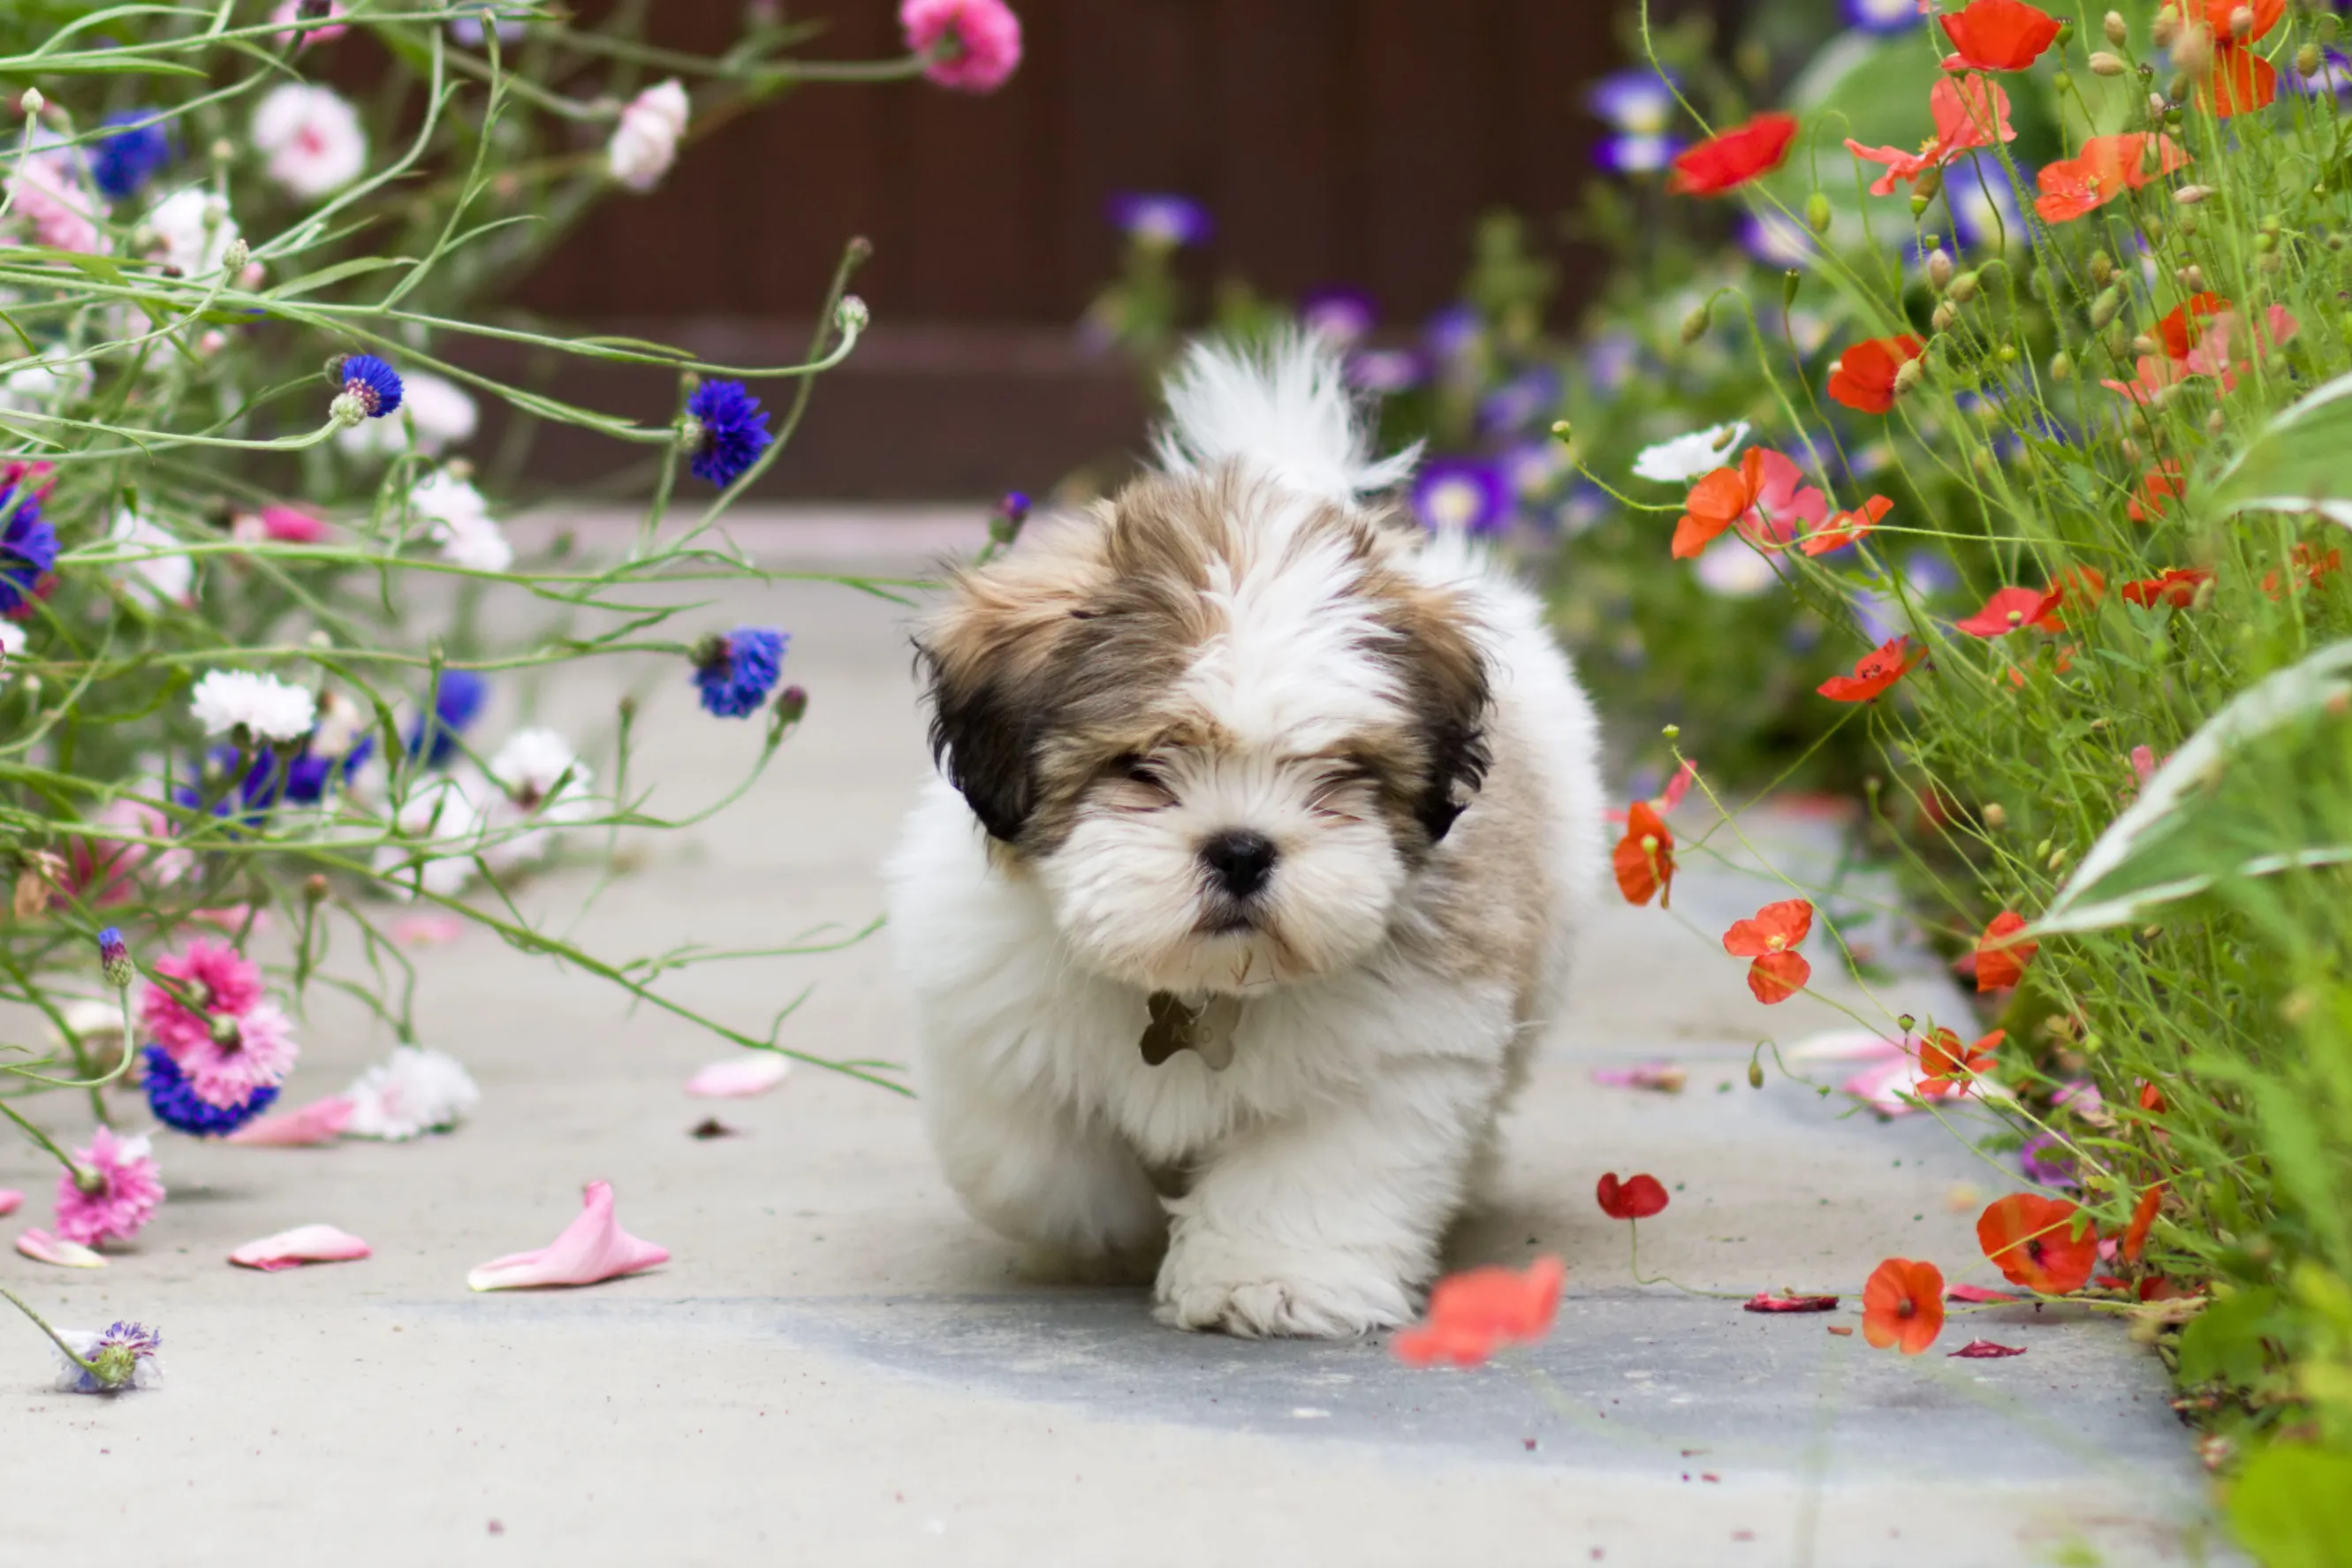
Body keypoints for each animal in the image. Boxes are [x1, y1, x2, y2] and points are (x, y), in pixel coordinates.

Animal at [884, 331, 1599, 1335]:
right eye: (1146, 765)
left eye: (1336, 773)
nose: (1242, 847)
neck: (1199, 987)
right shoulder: (989, 1014)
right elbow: (1035, 1159)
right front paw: (1105, 1229)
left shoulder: (1394, 1051)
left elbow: (1316, 1168)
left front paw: (1266, 1277)